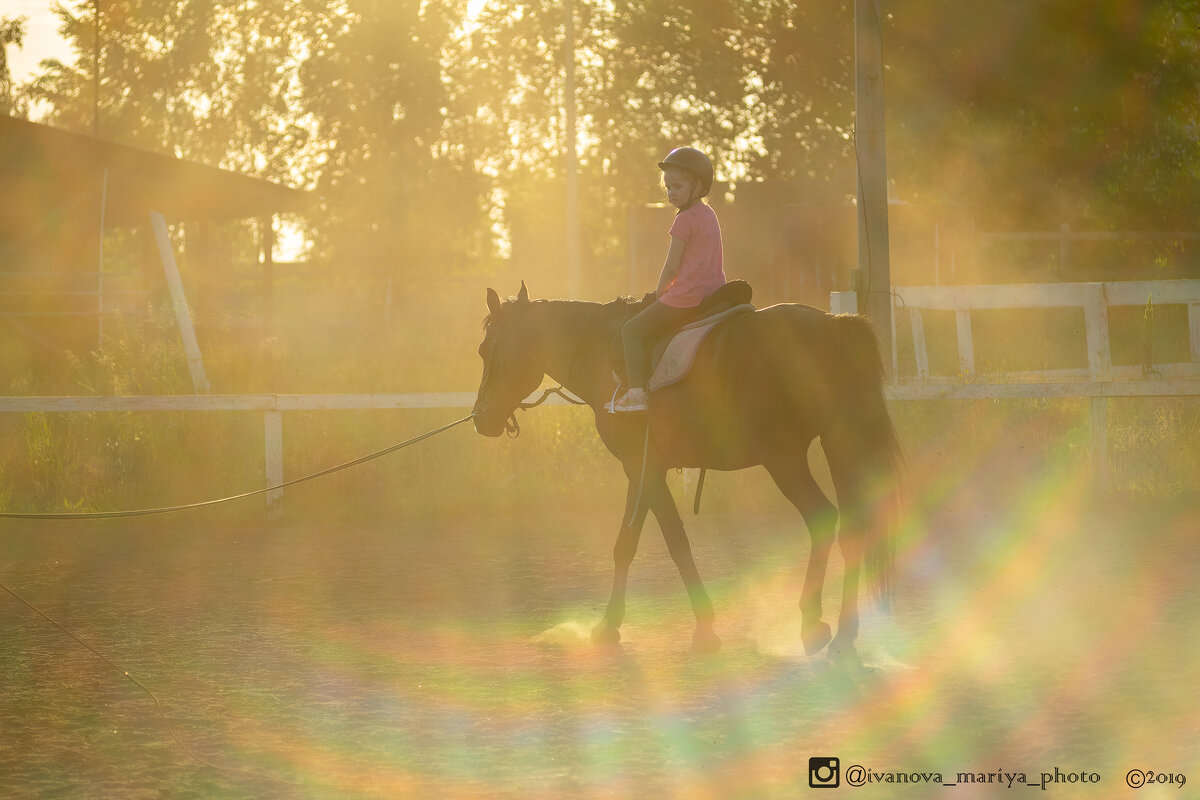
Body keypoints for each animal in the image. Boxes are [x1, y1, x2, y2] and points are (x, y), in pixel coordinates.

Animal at [468, 284, 902, 662]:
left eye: (487, 350)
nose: (481, 418)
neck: (602, 353)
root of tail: (831, 324)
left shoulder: (644, 468)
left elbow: (672, 542)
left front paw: (702, 629)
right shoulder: (642, 469)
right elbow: (627, 544)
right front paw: (611, 625)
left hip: (785, 458)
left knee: (822, 519)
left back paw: (815, 624)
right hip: (837, 445)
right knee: (853, 529)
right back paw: (844, 632)